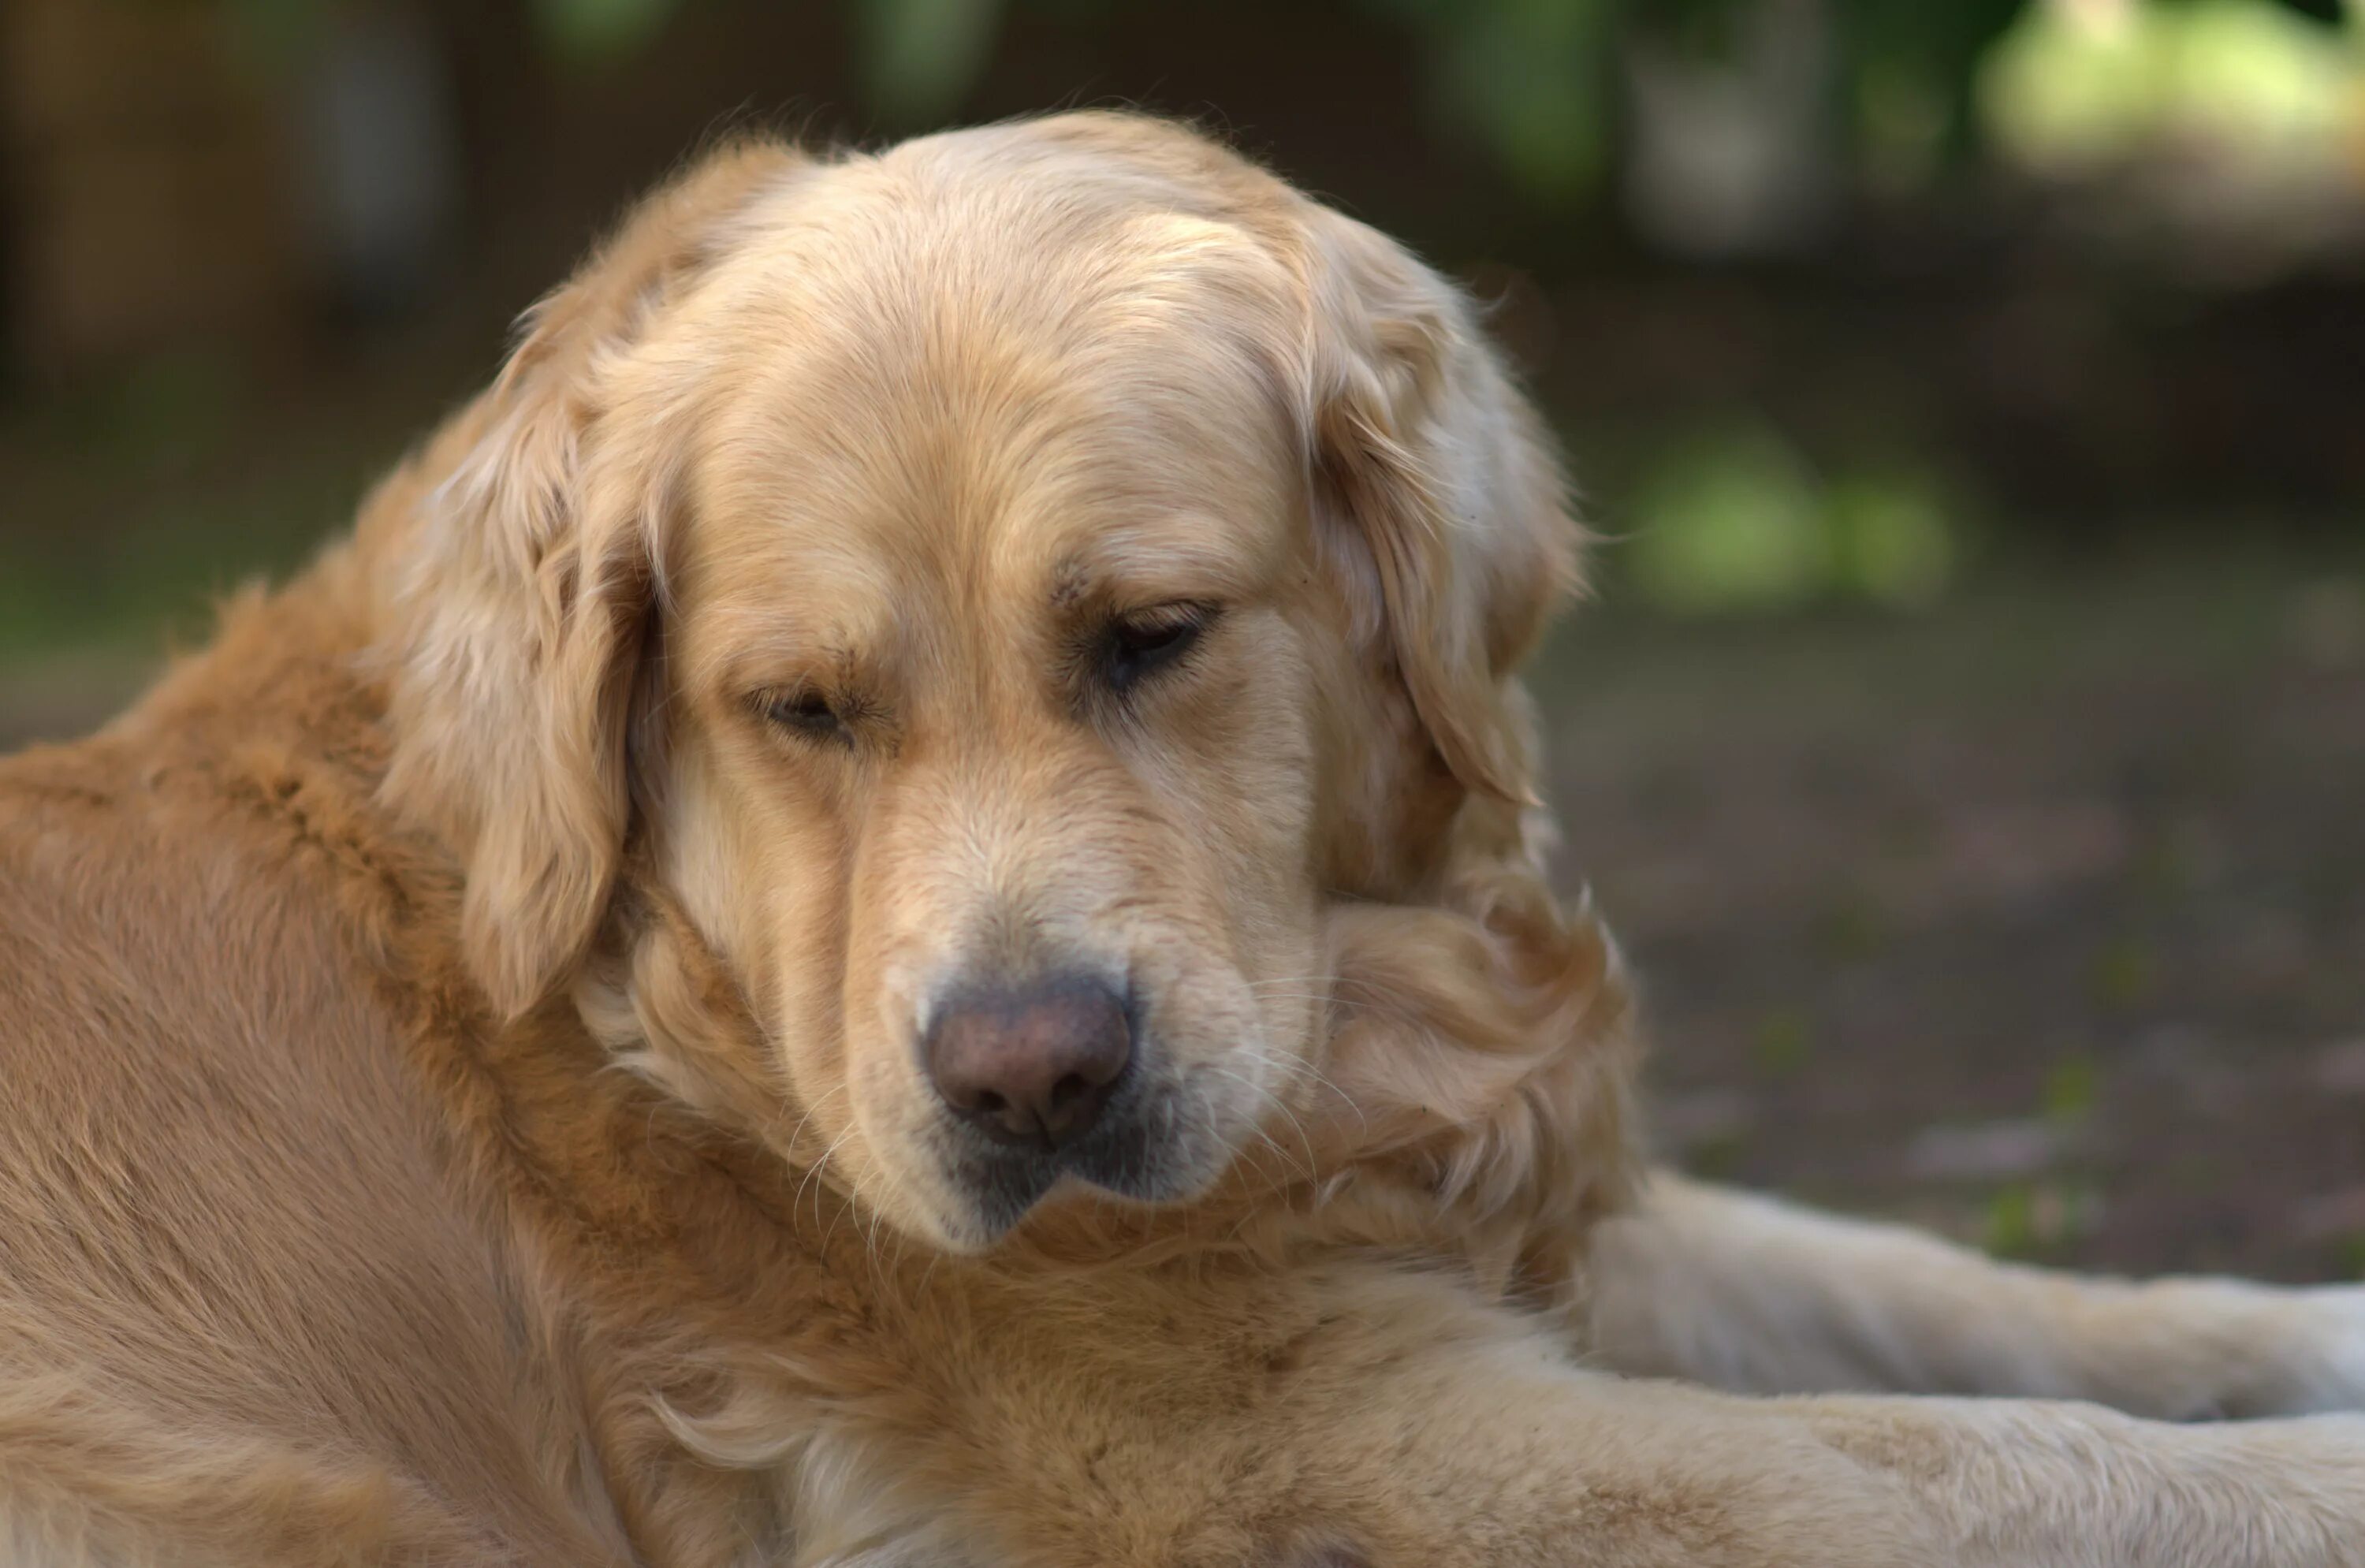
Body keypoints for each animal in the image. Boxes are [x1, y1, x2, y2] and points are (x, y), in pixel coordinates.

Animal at [4, 114, 2365, 1568]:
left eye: (1151, 635)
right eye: (801, 711)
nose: (1028, 1078)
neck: (658, 1012)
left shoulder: (1471, 1225)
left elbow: (1947, 1294)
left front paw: (2297, 1322)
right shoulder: (1345, 1446)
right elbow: (1984, 1459)